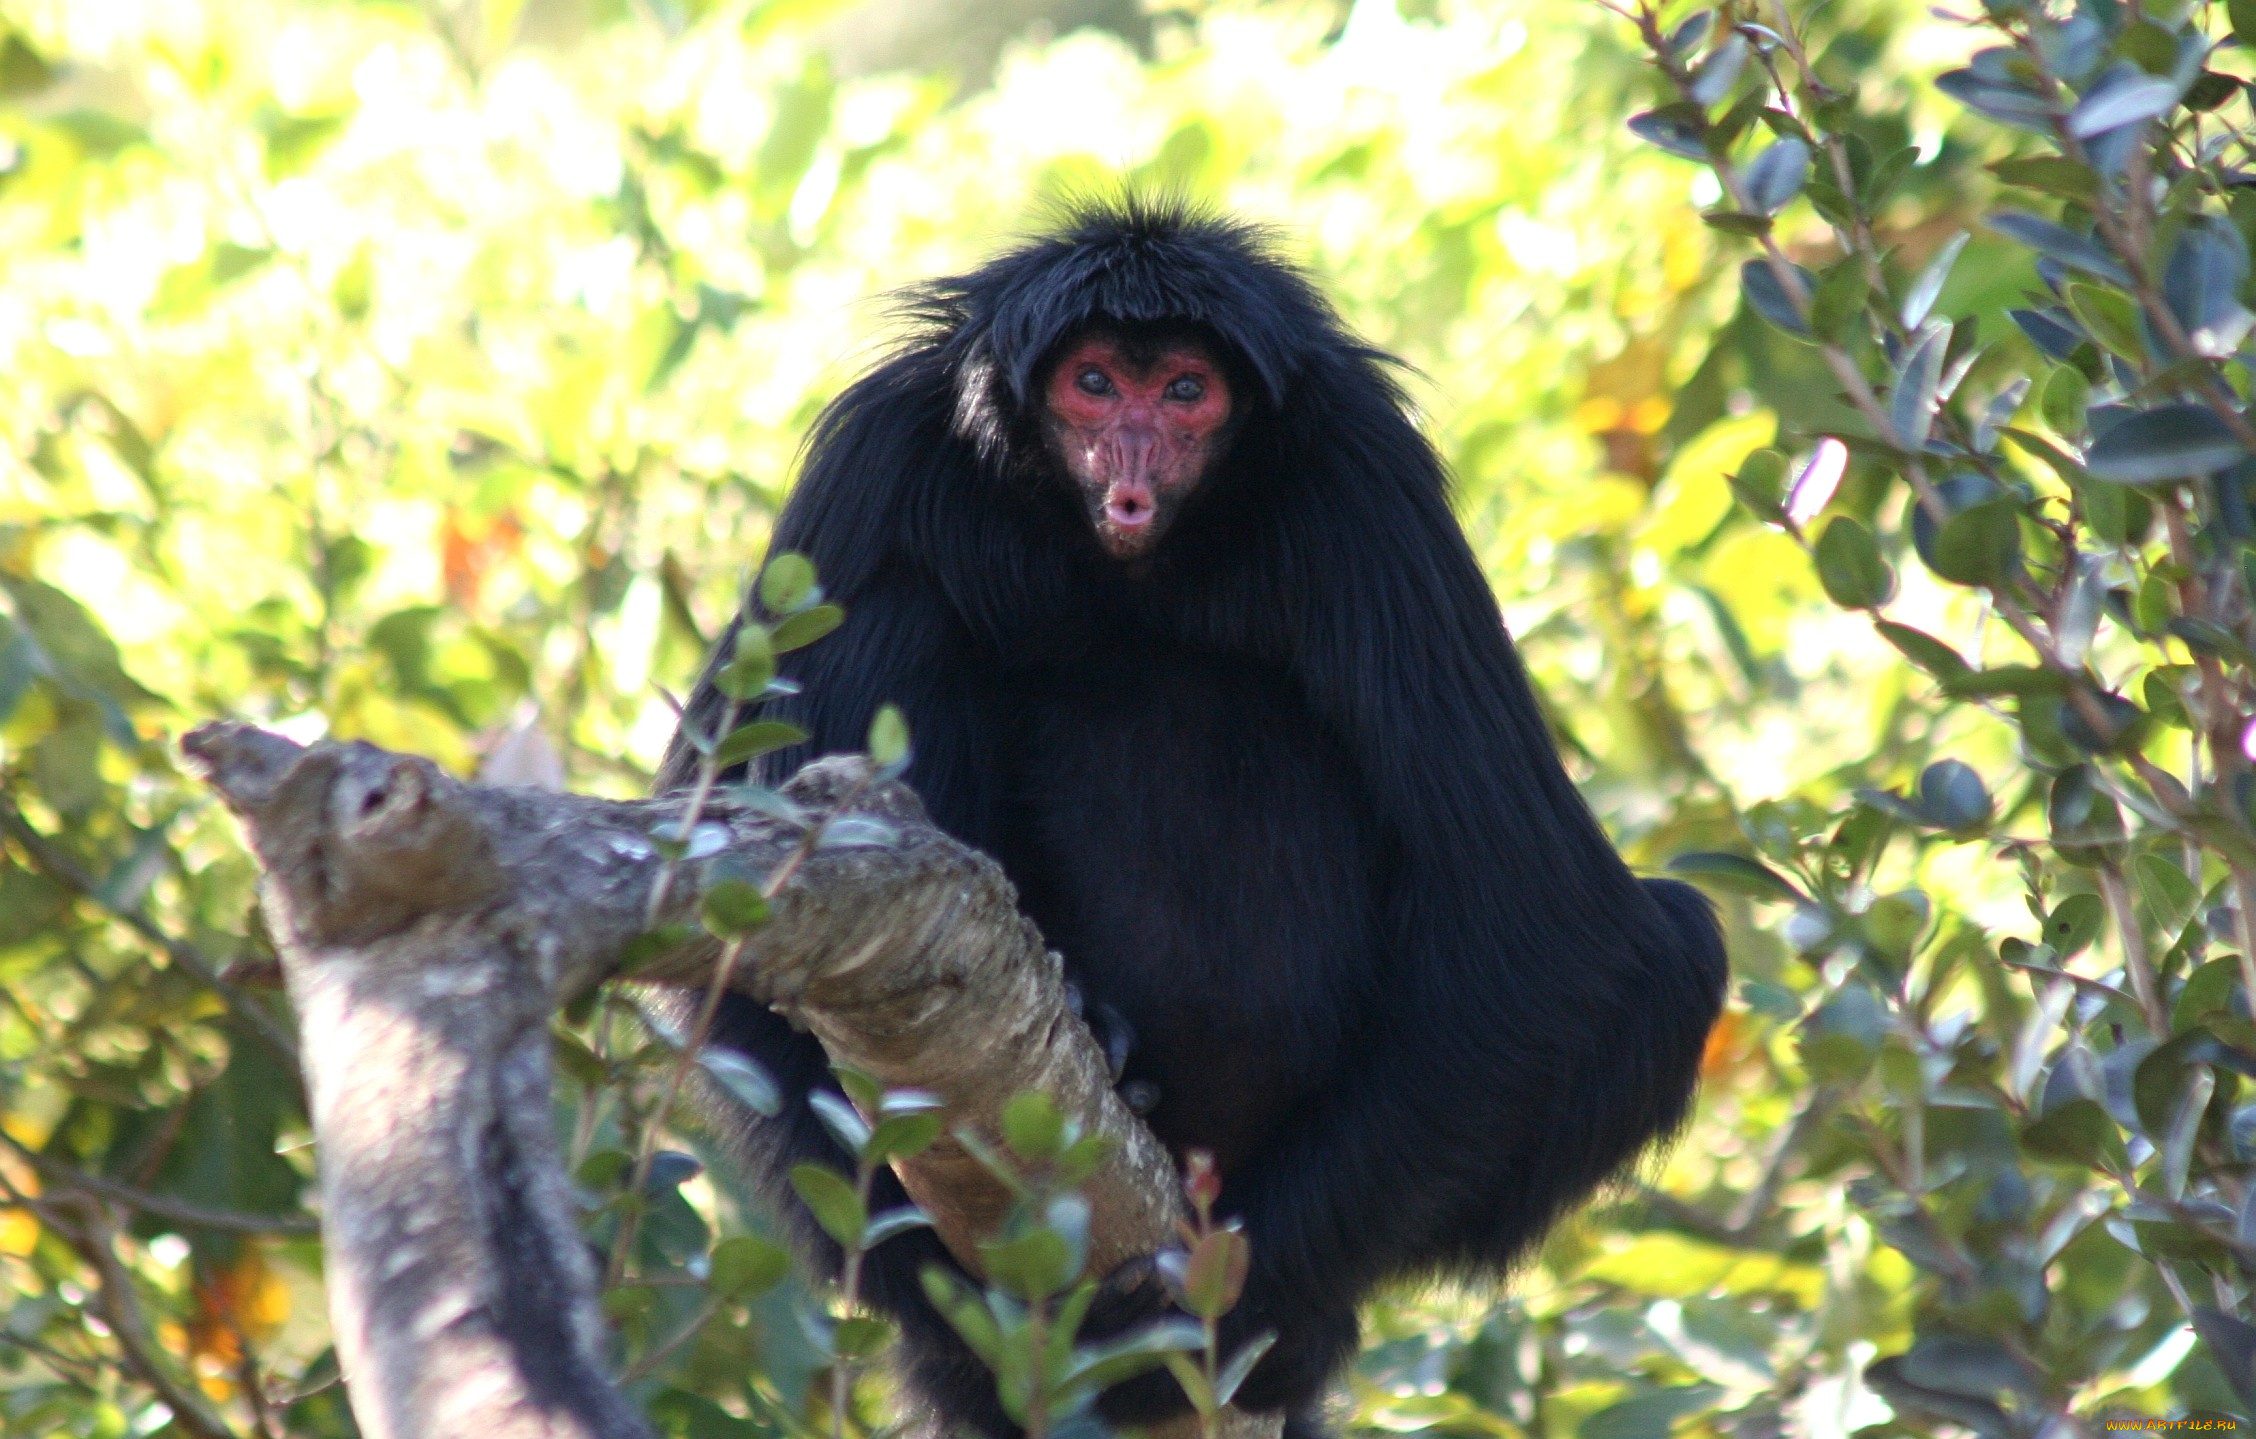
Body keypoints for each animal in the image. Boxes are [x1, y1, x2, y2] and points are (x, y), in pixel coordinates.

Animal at [658, 202, 1732, 1439]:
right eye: (1092, 385)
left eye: (1184, 392)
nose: (1133, 462)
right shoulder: (880, 451)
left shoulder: (1366, 479)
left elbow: (1553, 930)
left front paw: (1223, 1300)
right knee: (907, 613)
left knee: (1676, 941)